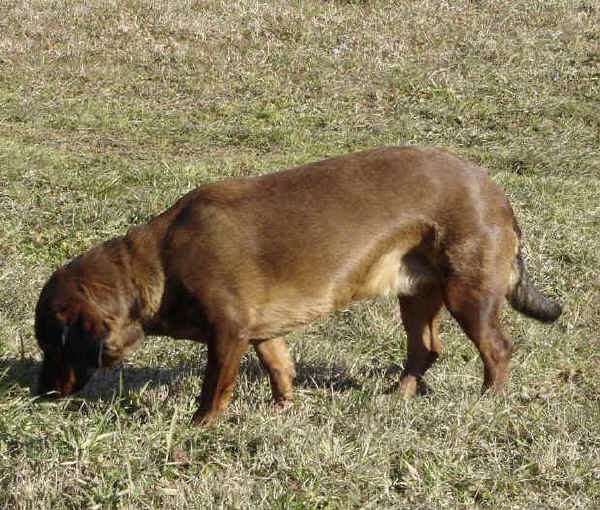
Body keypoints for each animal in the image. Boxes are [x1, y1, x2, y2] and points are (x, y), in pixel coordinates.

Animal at [34, 148, 564, 426]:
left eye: (52, 347)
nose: (38, 395)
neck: (156, 263)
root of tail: (498, 195)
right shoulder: (262, 332)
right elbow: (280, 368)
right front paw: (281, 409)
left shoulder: (227, 332)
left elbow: (213, 388)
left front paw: (200, 427)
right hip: (416, 294)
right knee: (425, 349)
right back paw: (399, 395)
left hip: (467, 293)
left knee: (497, 348)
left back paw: (489, 400)